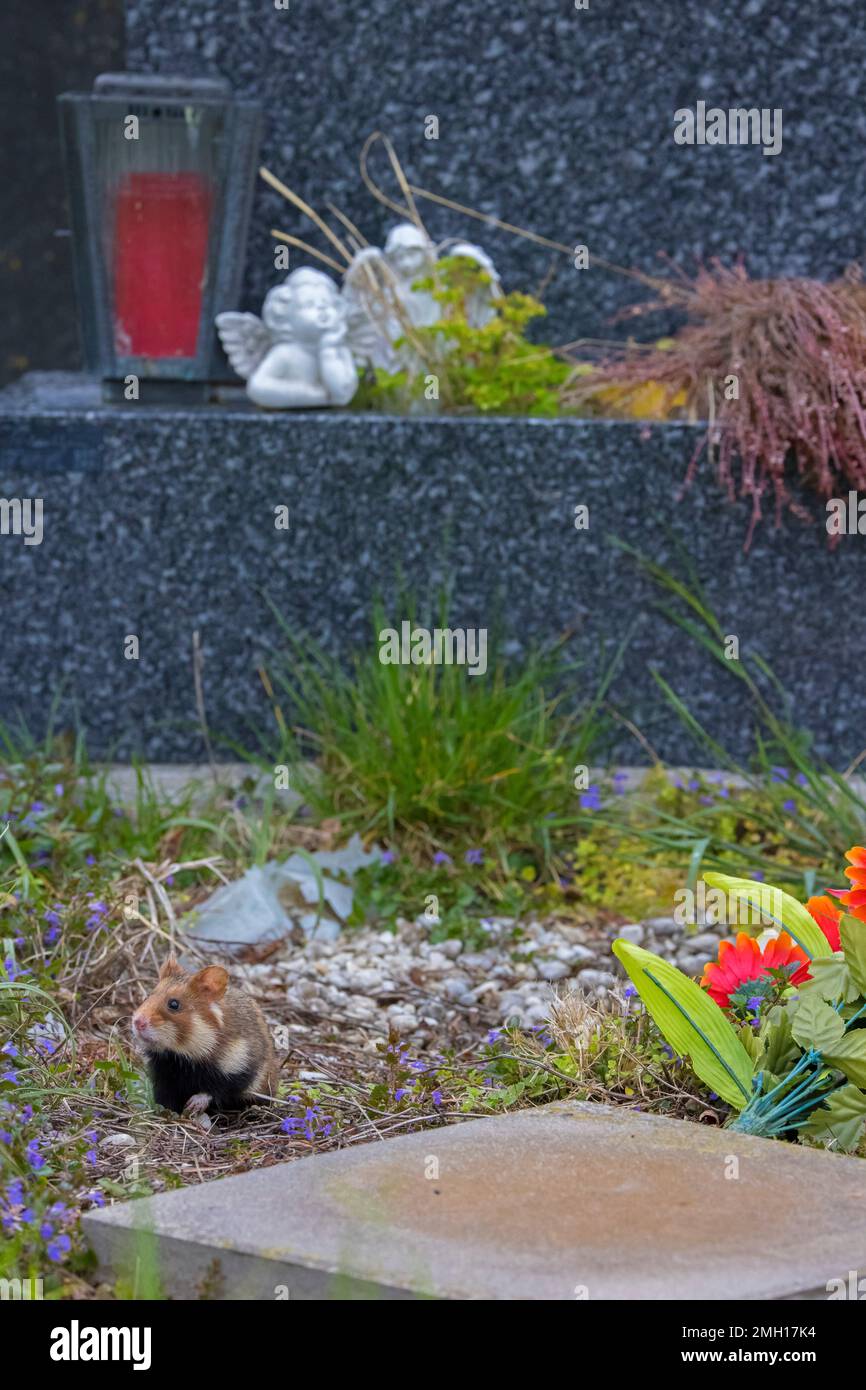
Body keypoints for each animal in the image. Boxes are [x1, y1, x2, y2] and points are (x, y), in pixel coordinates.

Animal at [131, 956, 278, 1117]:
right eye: (147, 997)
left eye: (174, 1004)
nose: (137, 1022)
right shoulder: (163, 1078)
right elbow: (165, 1100)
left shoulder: (241, 1069)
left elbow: (216, 1090)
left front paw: (193, 1105)